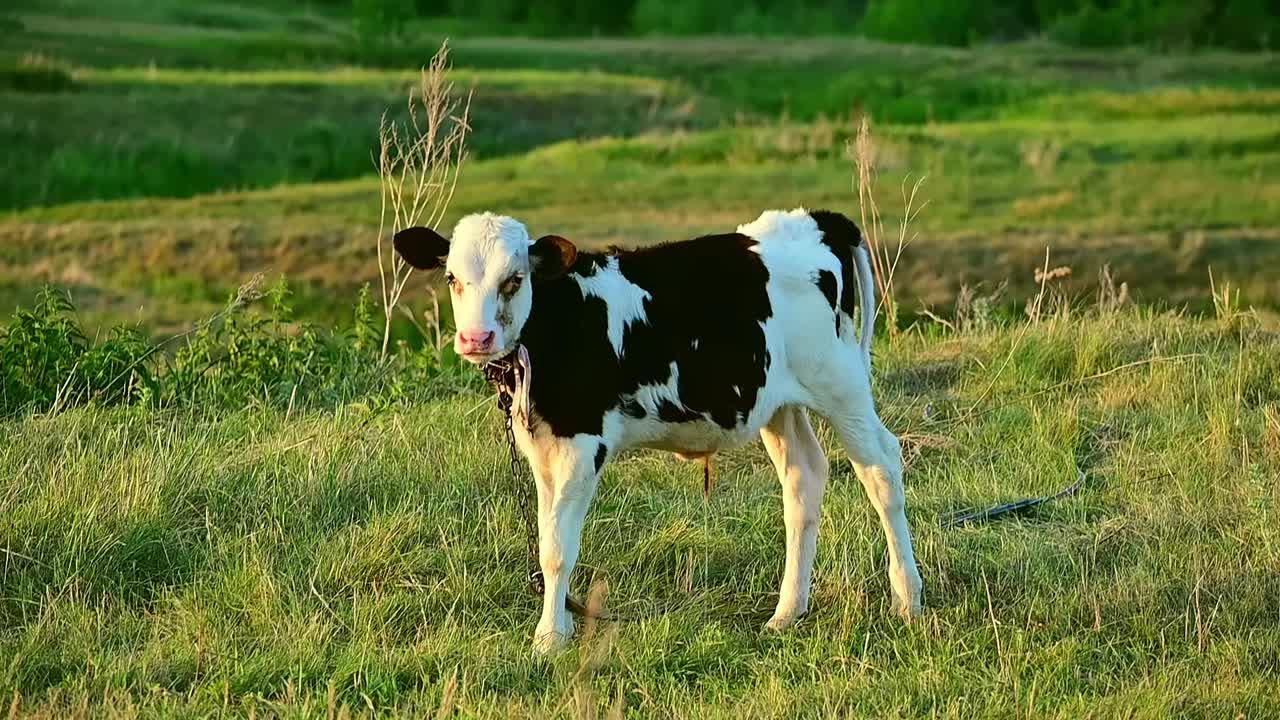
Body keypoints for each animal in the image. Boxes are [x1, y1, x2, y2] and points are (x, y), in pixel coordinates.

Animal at [396, 207, 921, 650]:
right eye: (452, 278)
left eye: (514, 279)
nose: (475, 338)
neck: (560, 320)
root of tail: (819, 218)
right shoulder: (543, 447)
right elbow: (547, 539)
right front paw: (560, 625)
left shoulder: (582, 444)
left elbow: (559, 549)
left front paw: (549, 639)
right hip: (779, 403)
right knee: (804, 479)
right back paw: (788, 611)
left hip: (841, 384)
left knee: (882, 469)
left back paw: (907, 598)